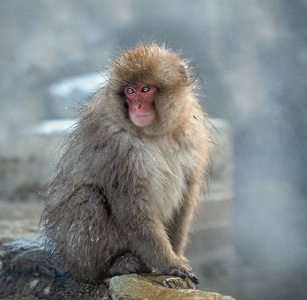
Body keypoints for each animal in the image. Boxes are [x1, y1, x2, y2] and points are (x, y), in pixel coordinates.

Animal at [41, 42, 212, 284]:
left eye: (146, 89)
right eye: (130, 91)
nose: (137, 106)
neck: (155, 133)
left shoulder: (193, 134)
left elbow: (185, 200)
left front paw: (177, 255)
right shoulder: (117, 147)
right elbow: (133, 210)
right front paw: (169, 263)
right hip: (72, 248)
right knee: (88, 197)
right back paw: (112, 266)